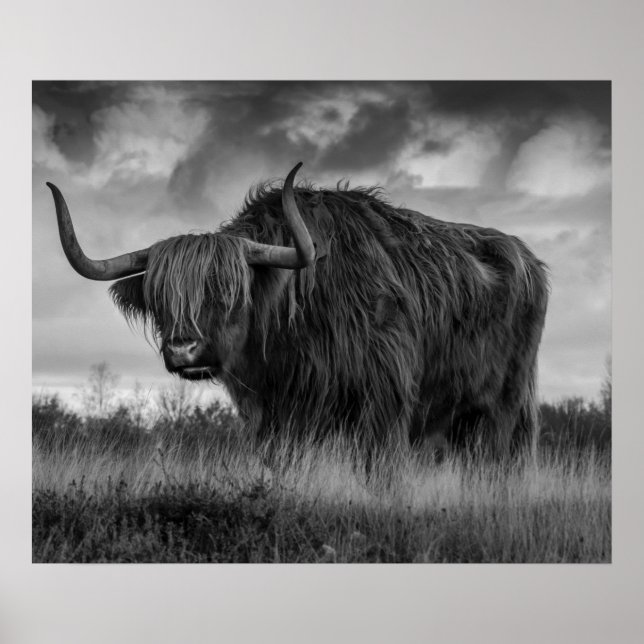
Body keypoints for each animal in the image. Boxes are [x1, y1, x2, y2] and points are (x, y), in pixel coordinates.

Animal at [46, 163, 548, 456]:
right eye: (160, 298)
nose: (183, 350)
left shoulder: (385, 402)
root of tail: (528, 257)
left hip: (504, 408)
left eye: (229, 291)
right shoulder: (273, 415)